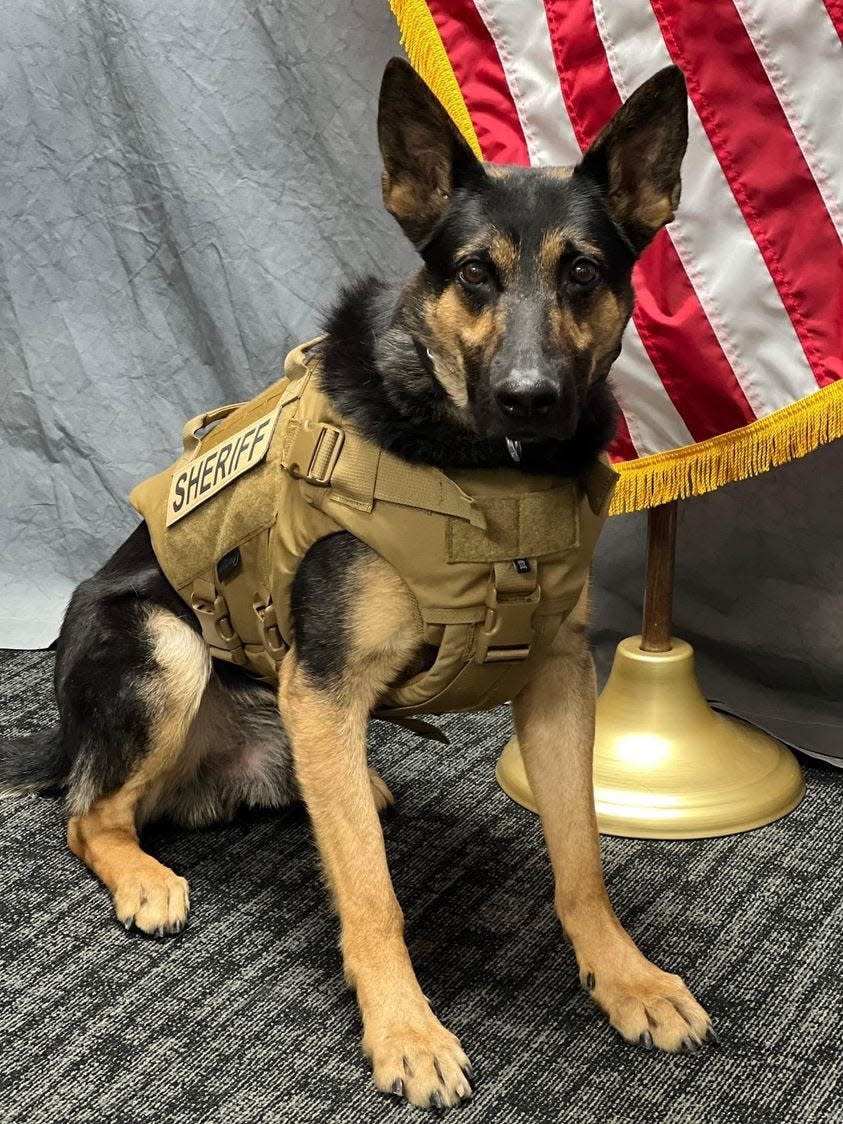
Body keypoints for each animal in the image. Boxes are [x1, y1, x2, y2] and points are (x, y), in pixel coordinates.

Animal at [1, 59, 714, 1106]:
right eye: (474, 273)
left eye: (582, 270)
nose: (529, 401)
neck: (486, 471)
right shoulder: (325, 687)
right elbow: (373, 895)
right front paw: (405, 1030)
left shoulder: (557, 683)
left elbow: (581, 859)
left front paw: (624, 977)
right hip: (169, 647)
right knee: (88, 816)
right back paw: (142, 875)